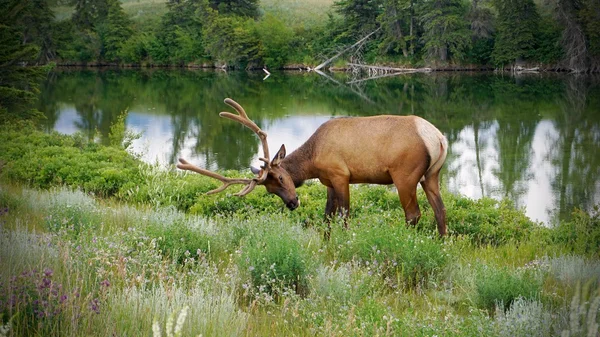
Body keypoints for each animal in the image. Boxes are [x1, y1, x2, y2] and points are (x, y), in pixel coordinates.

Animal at [176, 97, 448, 235]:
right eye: (270, 190)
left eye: (282, 178)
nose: (292, 203)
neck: (313, 161)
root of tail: (438, 137)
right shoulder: (327, 180)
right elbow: (327, 215)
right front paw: (325, 242)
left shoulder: (340, 174)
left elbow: (344, 215)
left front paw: (345, 241)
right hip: (432, 174)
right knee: (440, 210)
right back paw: (442, 242)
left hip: (405, 175)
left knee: (413, 214)